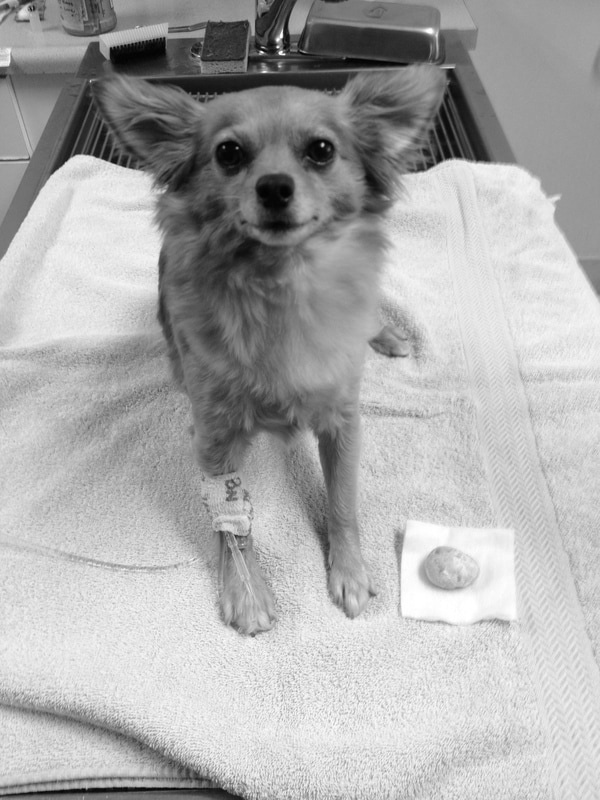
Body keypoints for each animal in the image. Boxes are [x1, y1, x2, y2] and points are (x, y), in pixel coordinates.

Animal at [95, 65, 446, 636]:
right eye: (229, 153)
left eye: (322, 150)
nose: (275, 186)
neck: (281, 286)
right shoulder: (214, 439)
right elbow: (232, 525)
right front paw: (246, 590)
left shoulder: (343, 421)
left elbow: (343, 501)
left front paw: (350, 570)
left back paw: (388, 335)